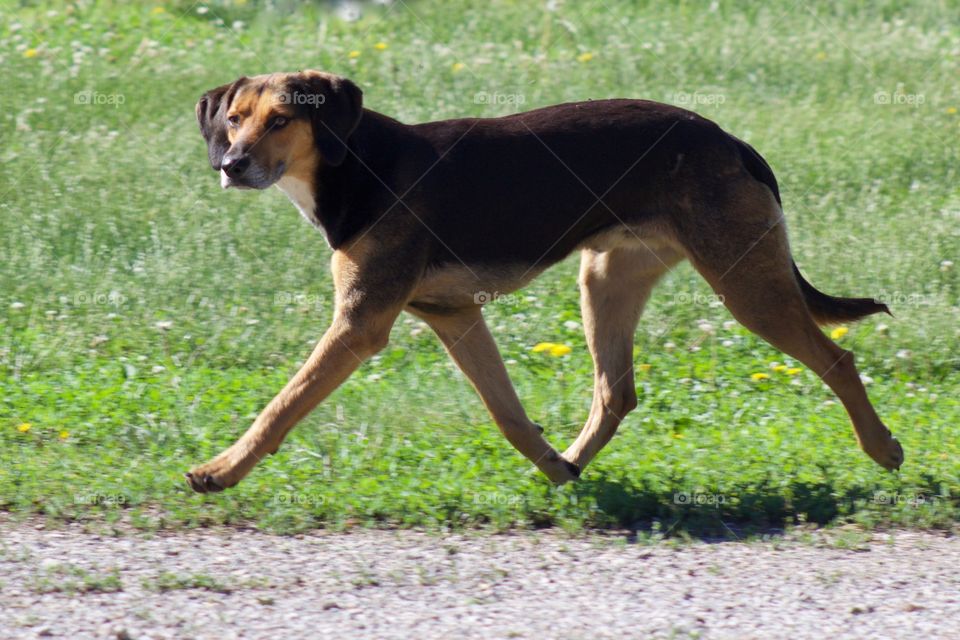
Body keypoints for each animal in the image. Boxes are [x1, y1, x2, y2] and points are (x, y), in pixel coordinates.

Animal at [186, 67, 900, 492]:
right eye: (234, 119)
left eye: (282, 120)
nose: (231, 165)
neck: (354, 164)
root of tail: (731, 140)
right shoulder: (454, 316)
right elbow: (507, 413)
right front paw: (552, 465)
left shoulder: (360, 325)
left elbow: (280, 407)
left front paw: (219, 470)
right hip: (606, 281)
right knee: (615, 393)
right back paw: (574, 462)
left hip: (743, 283)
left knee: (836, 360)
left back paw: (883, 449)